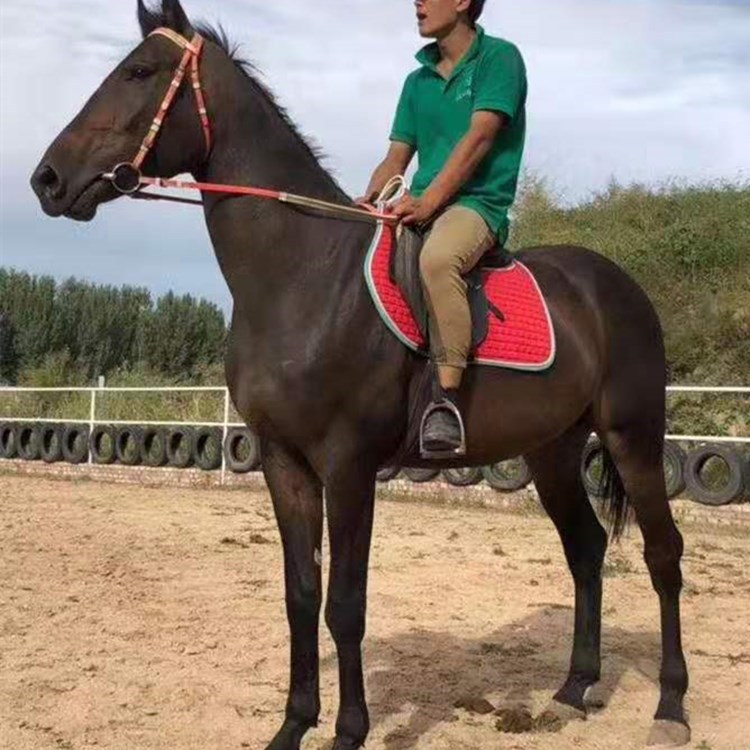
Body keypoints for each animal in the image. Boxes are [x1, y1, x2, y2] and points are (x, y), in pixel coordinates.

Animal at [30, 2, 689, 747]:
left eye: (140, 71)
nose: (47, 179)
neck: (304, 276)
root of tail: (616, 285)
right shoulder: (284, 461)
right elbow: (300, 594)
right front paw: (293, 725)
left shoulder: (347, 465)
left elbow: (345, 603)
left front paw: (348, 730)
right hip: (552, 449)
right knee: (586, 549)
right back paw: (575, 689)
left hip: (633, 437)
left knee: (664, 555)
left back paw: (670, 706)